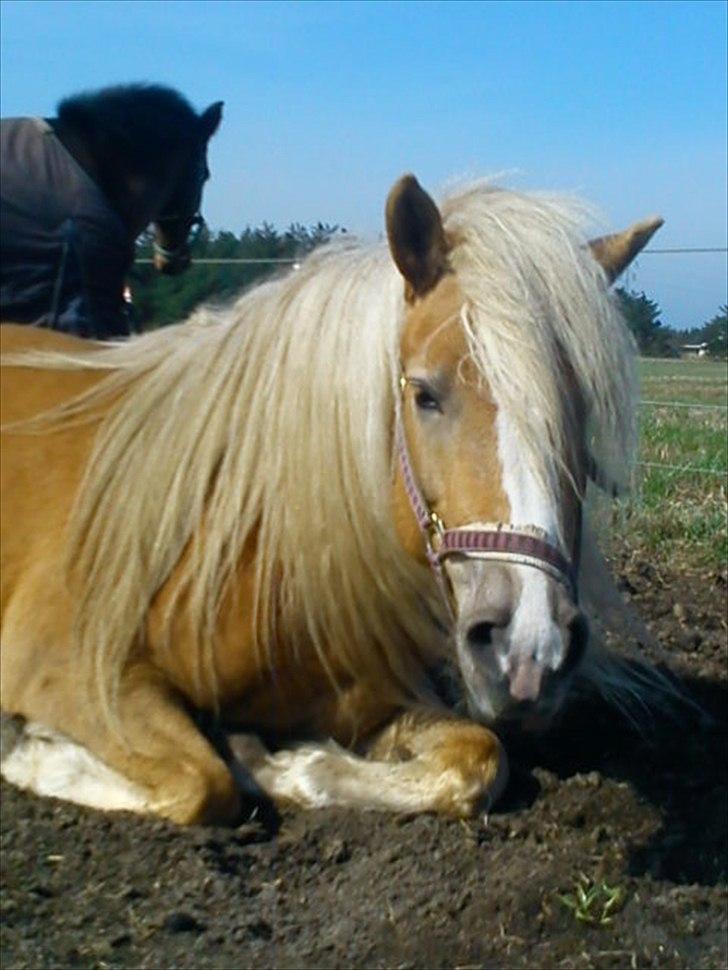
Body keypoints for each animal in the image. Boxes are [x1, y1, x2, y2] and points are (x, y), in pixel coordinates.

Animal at [0, 176, 660, 824]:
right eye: (424, 394)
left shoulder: (369, 699)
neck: (252, 550)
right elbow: (202, 784)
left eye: (579, 412)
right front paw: (29, 752)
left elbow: (477, 759)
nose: (529, 646)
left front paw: (279, 764)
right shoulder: (72, 669)